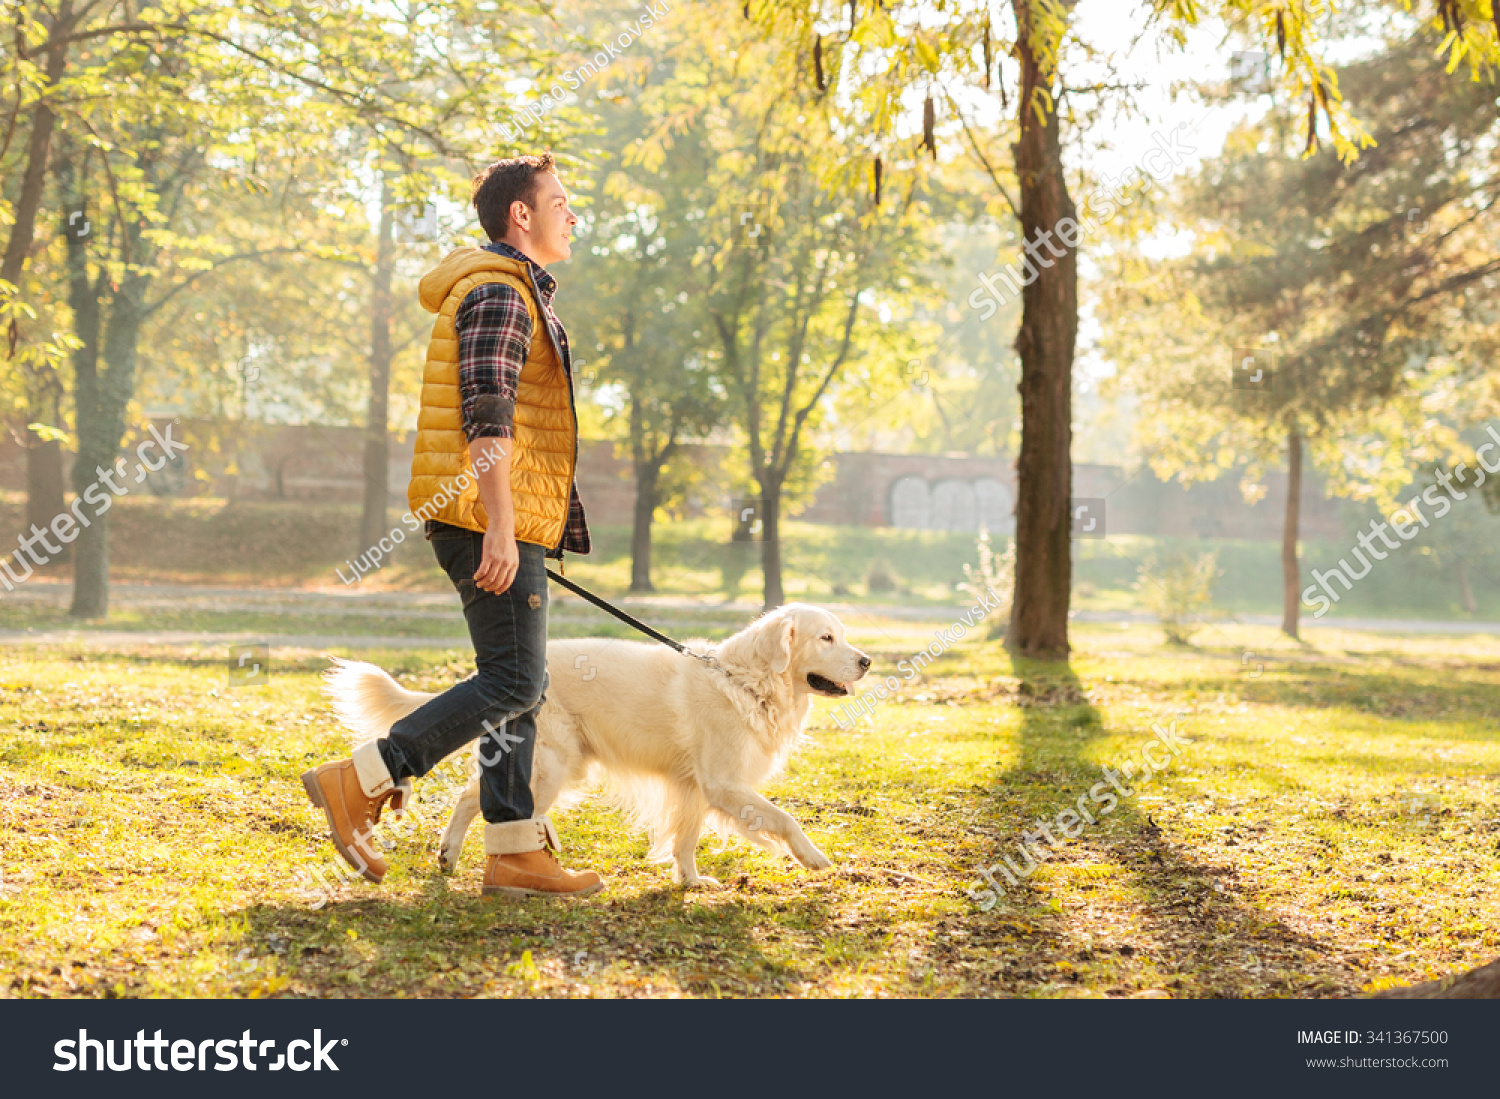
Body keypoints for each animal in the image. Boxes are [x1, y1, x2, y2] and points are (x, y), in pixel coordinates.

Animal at [327, 605, 870, 887]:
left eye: (842, 635)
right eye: (826, 638)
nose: (866, 661)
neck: (745, 680)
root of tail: (496, 676)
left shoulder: (695, 787)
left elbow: (686, 838)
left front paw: (690, 882)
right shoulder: (723, 783)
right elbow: (784, 818)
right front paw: (812, 856)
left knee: (474, 797)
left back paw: (452, 855)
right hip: (553, 764)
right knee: (482, 802)